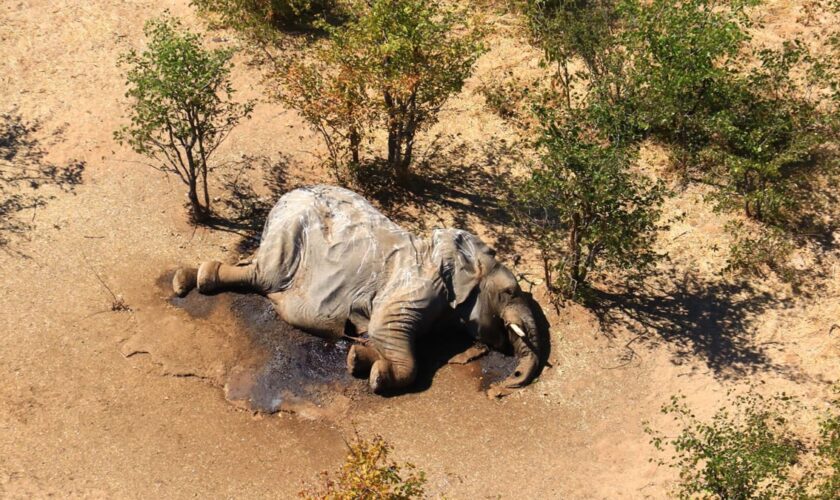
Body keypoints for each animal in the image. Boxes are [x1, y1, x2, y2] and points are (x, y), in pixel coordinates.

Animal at [174, 186, 548, 396]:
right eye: (510, 292)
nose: (504, 386)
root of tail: (284, 198)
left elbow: (379, 336)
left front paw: (357, 360)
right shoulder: (416, 286)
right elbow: (386, 330)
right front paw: (379, 377)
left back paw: (185, 278)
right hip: (289, 234)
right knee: (263, 276)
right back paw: (196, 279)